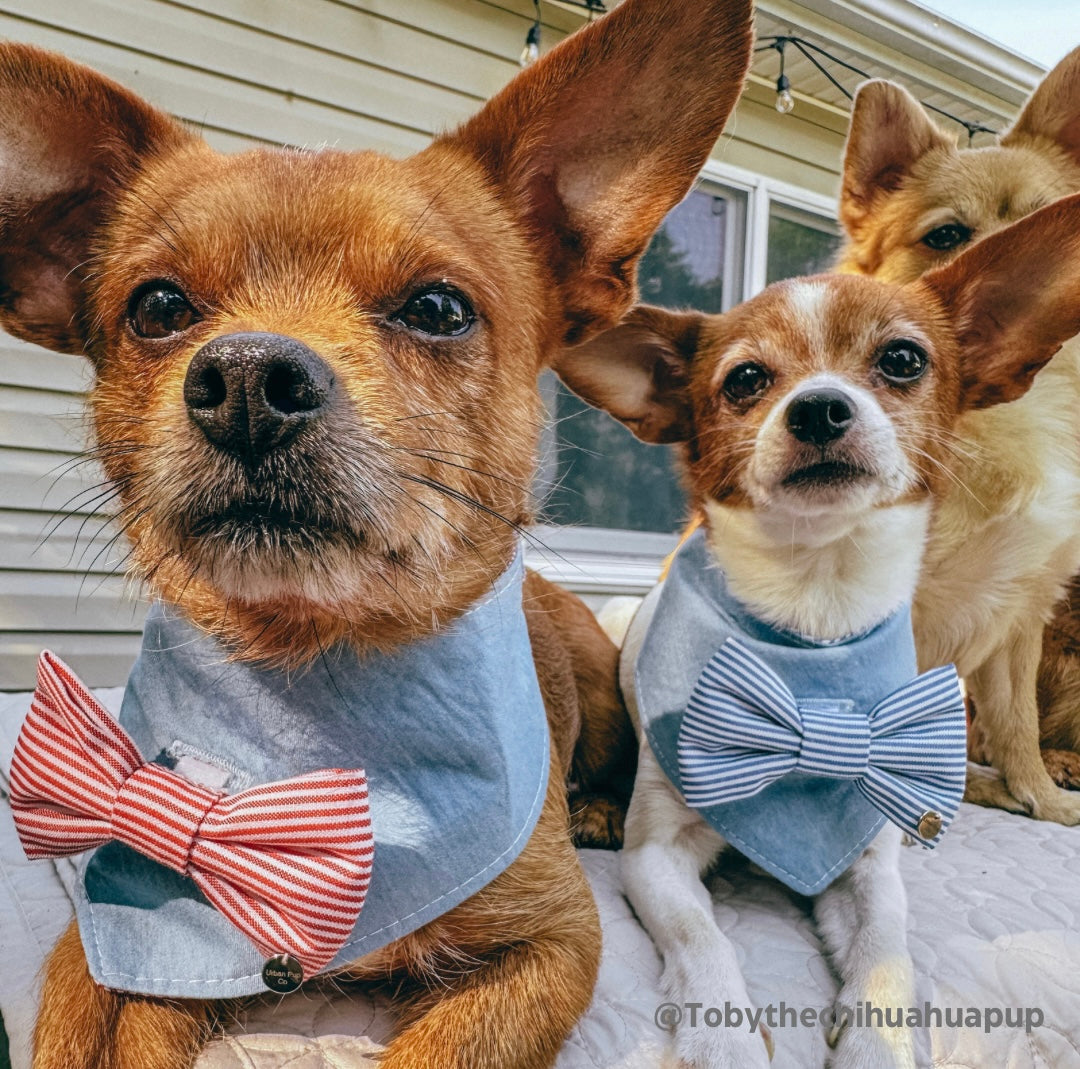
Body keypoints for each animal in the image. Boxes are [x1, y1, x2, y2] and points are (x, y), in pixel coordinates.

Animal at [0, 4, 756, 1066]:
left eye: (438, 308)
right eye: (157, 307)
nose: (245, 379)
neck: (317, 687)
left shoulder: (557, 941)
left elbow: (446, 1046)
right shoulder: (105, 935)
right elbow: (93, 1017)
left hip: (602, 691)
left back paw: (598, 807)